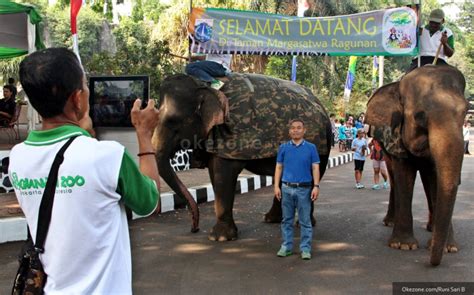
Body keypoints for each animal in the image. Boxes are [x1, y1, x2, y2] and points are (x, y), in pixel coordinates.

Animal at [154, 73, 332, 242]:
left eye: (173, 121)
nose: (194, 228)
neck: (204, 85)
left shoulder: (232, 133)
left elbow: (223, 174)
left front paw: (219, 238)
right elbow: (214, 173)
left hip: (321, 147)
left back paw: (303, 223)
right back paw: (272, 219)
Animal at [364, 65, 468, 268]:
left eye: (465, 112)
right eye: (420, 116)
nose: (432, 263)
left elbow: (437, 178)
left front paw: (449, 248)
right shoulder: (396, 136)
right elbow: (404, 175)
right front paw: (403, 245)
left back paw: (429, 227)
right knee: (394, 179)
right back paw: (390, 222)